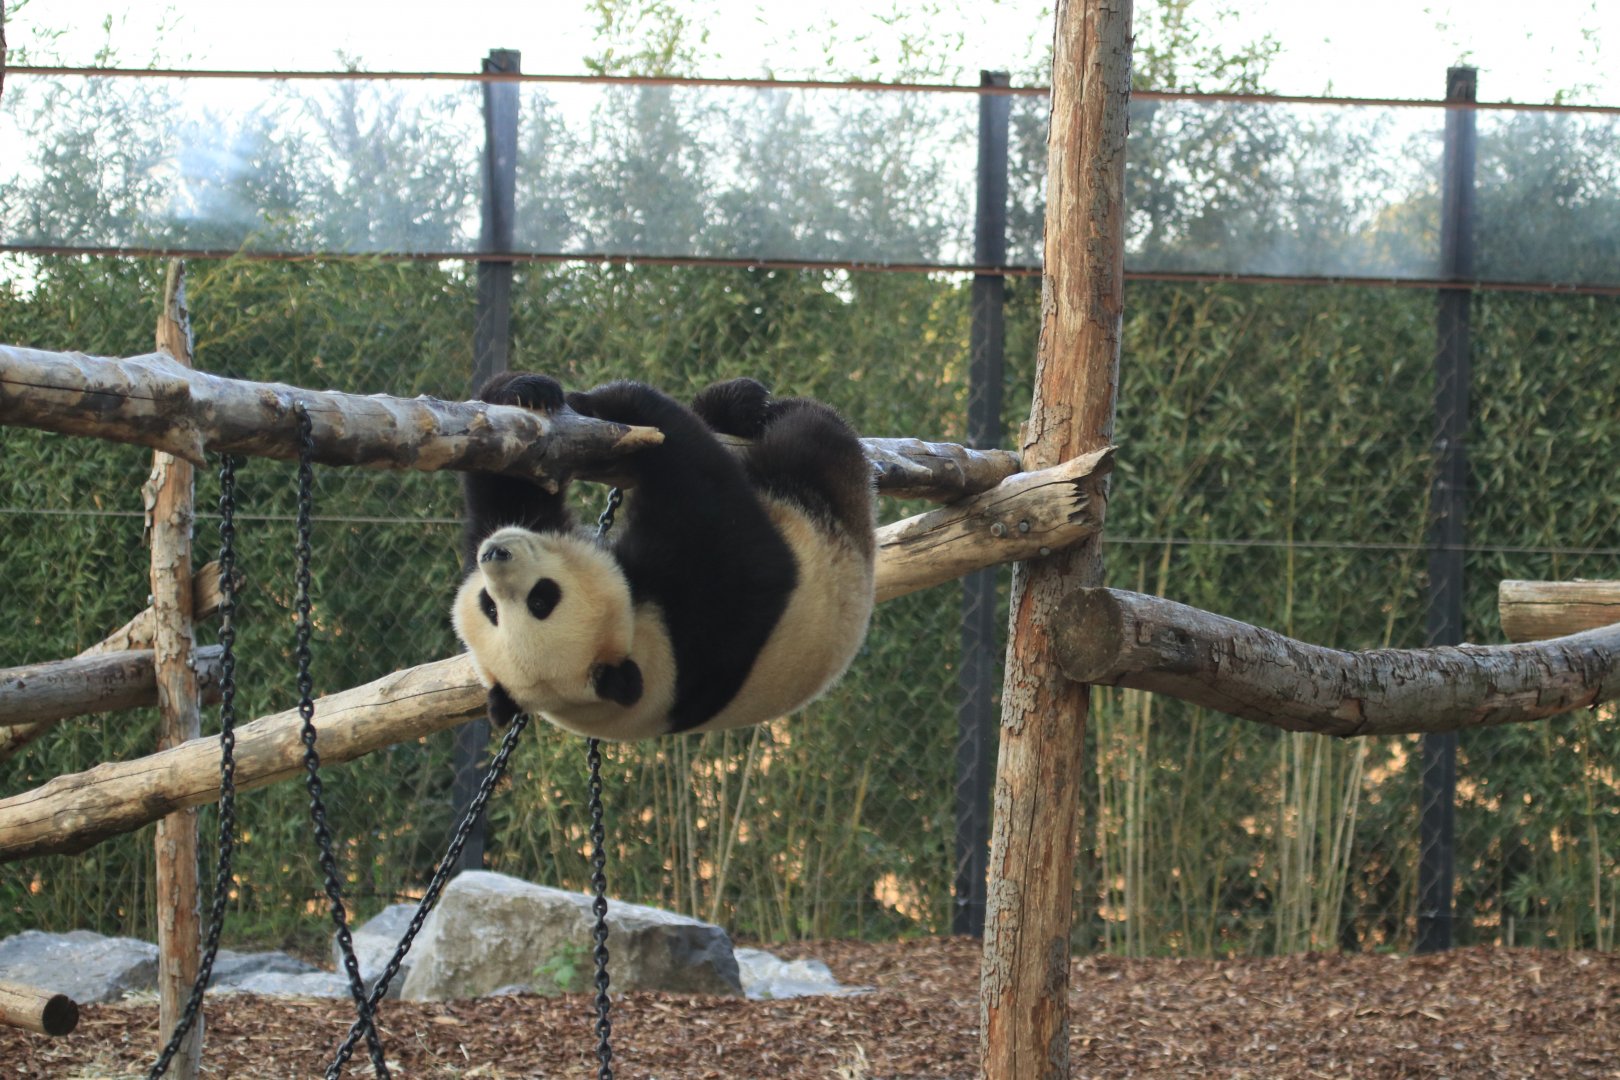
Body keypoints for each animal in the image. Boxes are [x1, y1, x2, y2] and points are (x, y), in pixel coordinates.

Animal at [452, 372, 876, 741]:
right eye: (538, 600)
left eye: (491, 606)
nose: (495, 552)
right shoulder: (696, 627)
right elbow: (715, 501)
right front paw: (621, 400)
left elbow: (519, 484)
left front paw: (528, 391)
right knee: (812, 436)